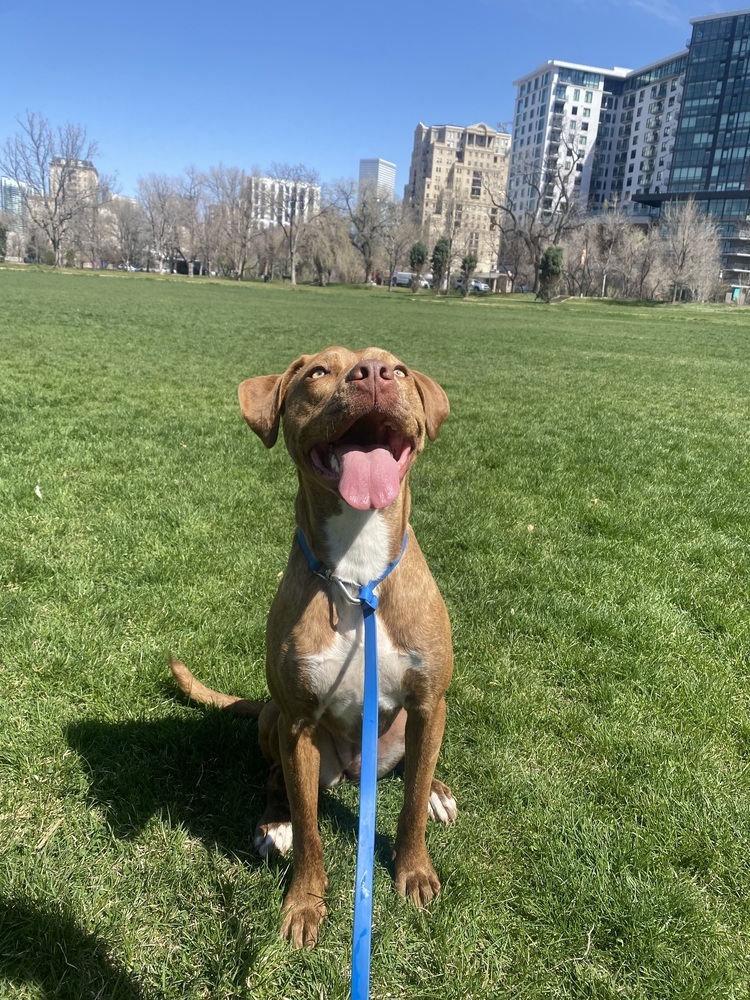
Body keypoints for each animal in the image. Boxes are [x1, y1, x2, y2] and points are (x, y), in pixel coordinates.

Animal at [173, 348, 456, 948]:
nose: (373, 375)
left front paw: (414, 870)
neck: (357, 571)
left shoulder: (428, 701)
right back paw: (271, 822)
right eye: (318, 373)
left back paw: (438, 790)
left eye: (397, 369)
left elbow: (411, 805)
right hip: (273, 720)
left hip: (413, 724)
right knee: (276, 779)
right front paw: (303, 904)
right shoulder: (298, 724)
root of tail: (352, 772)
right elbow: (309, 831)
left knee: (415, 771)